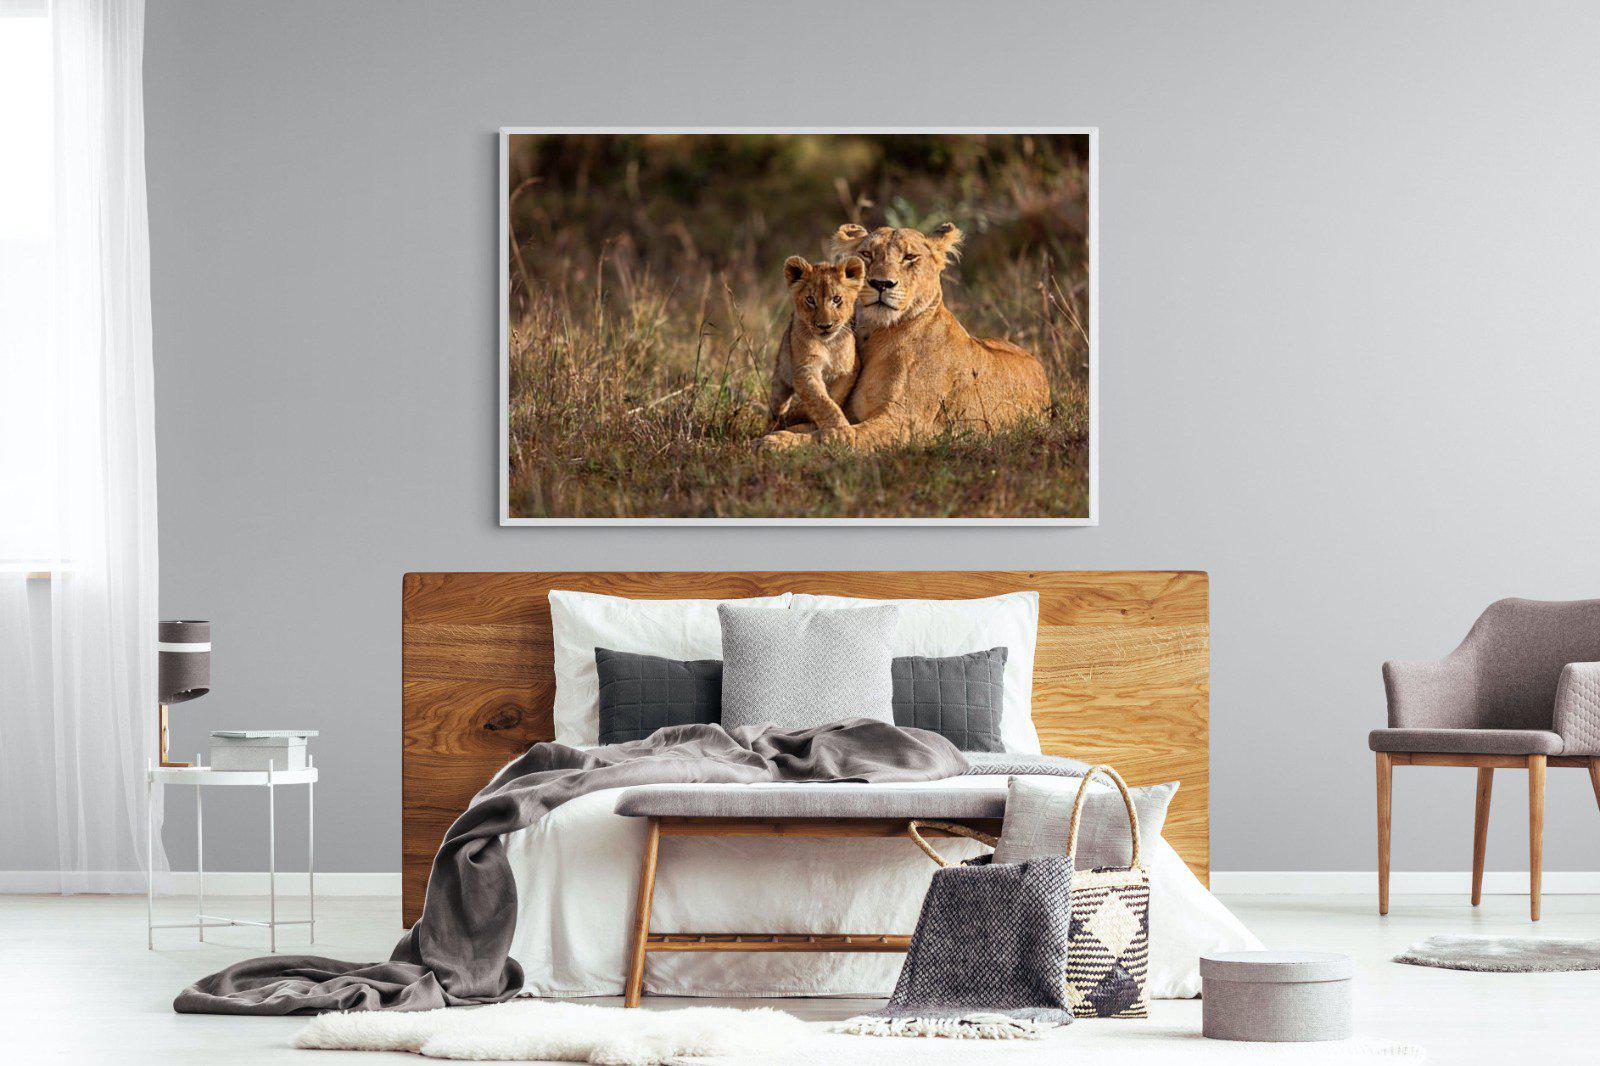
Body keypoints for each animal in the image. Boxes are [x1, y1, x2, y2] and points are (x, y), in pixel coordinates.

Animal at [768, 254, 866, 432]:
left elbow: (834, 396)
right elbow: (822, 401)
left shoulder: (850, 368)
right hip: (780, 378)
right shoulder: (805, 369)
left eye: (836, 299)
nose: (824, 326)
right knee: (775, 408)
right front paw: (840, 430)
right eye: (810, 300)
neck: (828, 345)